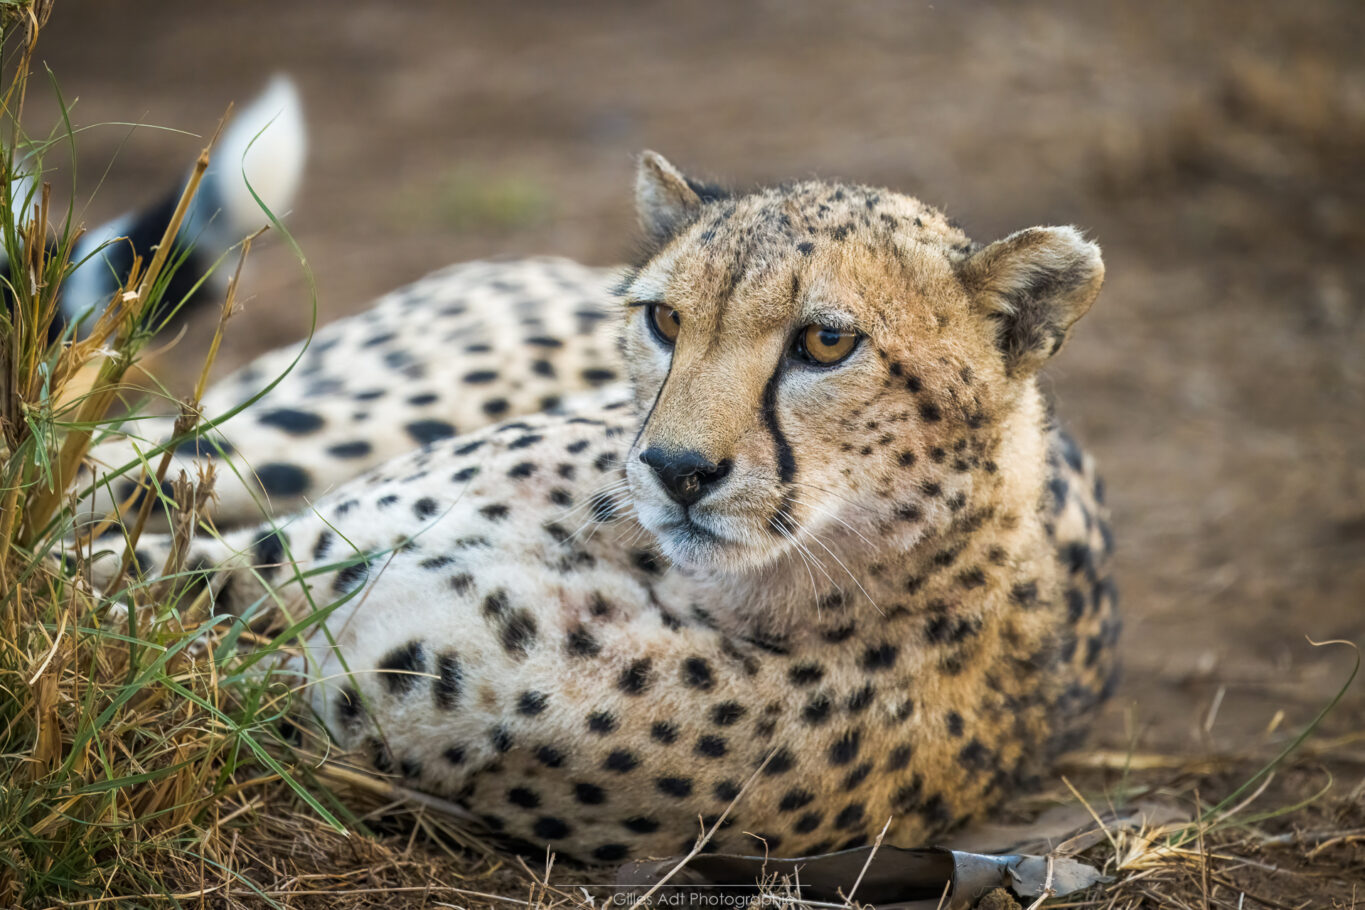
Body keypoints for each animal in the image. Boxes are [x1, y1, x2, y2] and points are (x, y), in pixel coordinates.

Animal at [93, 152, 1119, 867]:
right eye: (664, 320)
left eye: (827, 342)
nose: (675, 469)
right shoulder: (294, 560)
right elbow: (107, 591)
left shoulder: (334, 689)